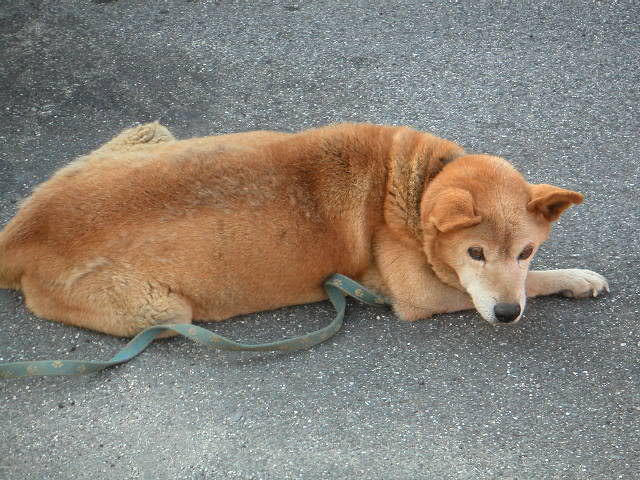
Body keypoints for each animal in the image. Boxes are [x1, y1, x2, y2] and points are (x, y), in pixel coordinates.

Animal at [0, 122, 608, 336]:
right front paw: (573, 279)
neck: (409, 188)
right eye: (476, 254)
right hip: (162, 311)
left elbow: (533, 281)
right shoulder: (423, 294)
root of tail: (20, 232)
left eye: (526, 249)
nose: (506, 315)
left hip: (151, 132)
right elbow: (531, 286)